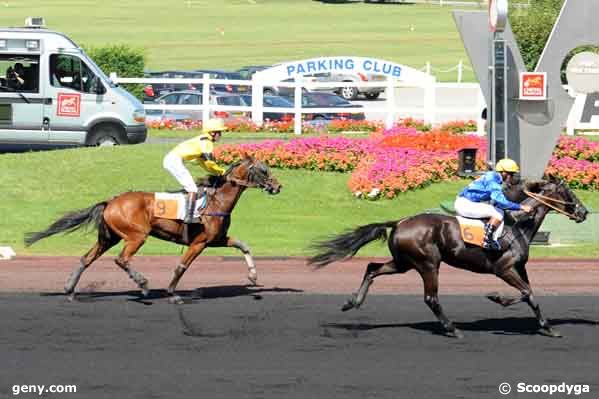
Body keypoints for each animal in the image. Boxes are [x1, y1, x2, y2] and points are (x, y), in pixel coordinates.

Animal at [24, 156, 282, 304]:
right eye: (263, 169)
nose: (278, 186)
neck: (216, 201)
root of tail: (111, 201)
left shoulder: (215, 239)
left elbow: (243, 246)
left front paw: (253, 276)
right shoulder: (199, 242)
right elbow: (182, 266)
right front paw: (172, 293)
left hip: (109, 238)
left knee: (86, 258)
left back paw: (69, 290)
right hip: (136, 235)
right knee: (122, 259)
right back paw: (144, 286)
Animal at [312, 180, 588, 340]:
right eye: (568, 192)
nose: (584, 212)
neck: (518, 225)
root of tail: (400, 222)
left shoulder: (519, 267)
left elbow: (531, 295)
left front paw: (548, 327)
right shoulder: (503, 268)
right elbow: (525, 293)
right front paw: (497, 297)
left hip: (403, 263)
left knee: (372, 268)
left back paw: (352, 302)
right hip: (428, 263)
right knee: (431, 298)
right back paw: (452, 329)